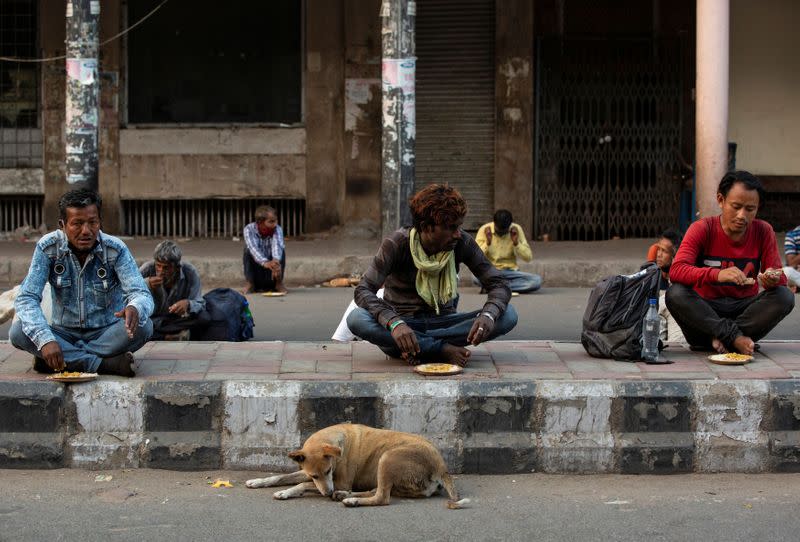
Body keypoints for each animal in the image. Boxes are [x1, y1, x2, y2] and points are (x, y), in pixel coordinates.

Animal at [244, 424, 468, 510]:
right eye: (314, 475)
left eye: (327, 471)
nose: (328, 493)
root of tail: (441, 466)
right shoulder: (310, 474)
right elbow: (281, 477)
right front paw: (259, 481)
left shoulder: (338, 480)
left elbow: (301, 486)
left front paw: (286, 492)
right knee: (376, 490)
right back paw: (345, 496)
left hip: (387, 457)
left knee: (382, 498)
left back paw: (349, 499)